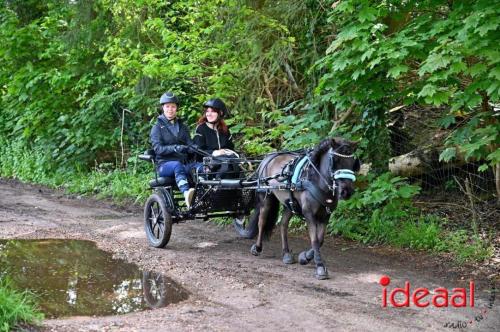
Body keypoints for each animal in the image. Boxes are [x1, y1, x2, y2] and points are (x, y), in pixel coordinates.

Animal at [250, 137, 360, 280]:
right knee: (262, 222)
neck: (316, 179)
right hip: (266, 198)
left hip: (290, 204)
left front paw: (305, 257)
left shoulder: (325, 215)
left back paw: (286, 253)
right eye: (335, 160)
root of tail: (269, 157)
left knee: (283, 224)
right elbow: (314, 240)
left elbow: (320, 240)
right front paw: (319, 267)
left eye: (353, 162)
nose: (347, 192)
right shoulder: (309, 214)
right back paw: (257, 247)